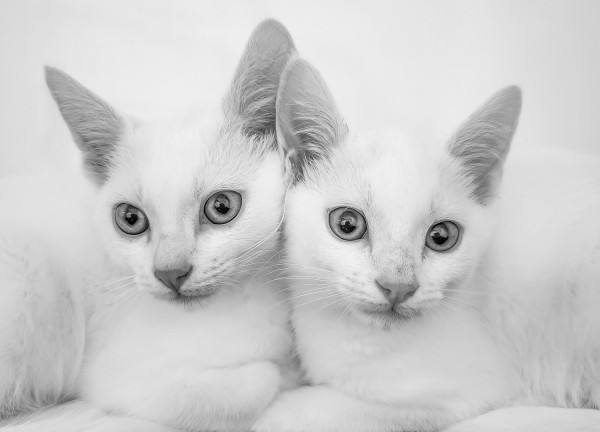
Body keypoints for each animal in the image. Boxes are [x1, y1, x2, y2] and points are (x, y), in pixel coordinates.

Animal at [0, 19, 297, 431]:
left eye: (221, 207)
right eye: (130, 219)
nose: (170, 272)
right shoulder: (119, 377)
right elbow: (242, 389)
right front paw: (281, 373)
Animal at [253, 56, 600, 431]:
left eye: (442, 236)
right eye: (347, 224)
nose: (398, 286)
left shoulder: (464, 390)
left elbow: (316, 409)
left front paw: (273, 409)